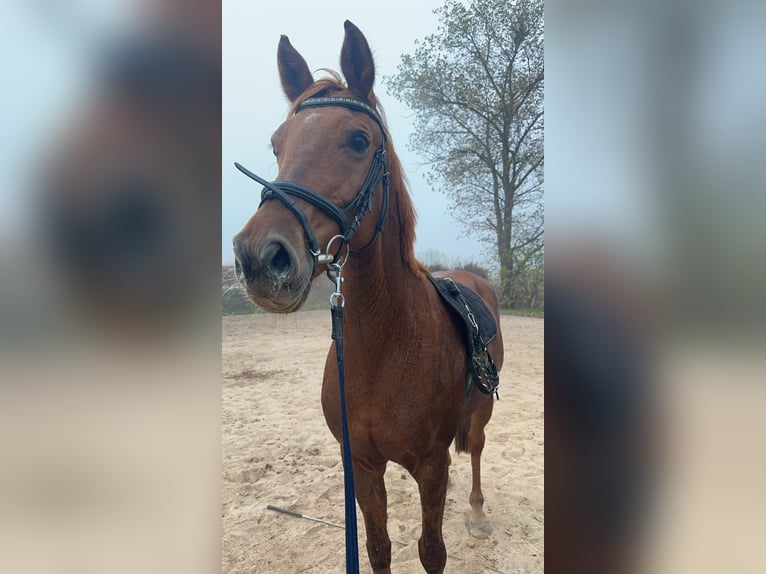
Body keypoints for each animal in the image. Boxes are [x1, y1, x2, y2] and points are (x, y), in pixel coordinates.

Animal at [237, 20, 508, 572]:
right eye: (277, 145)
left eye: (359, 140)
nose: (260, 257)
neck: (385, 350)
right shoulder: (361, 464)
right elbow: (378, 546)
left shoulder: (432, 465)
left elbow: (431, 551)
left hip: (479, 416)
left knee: (476, 450)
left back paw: (476, 511)